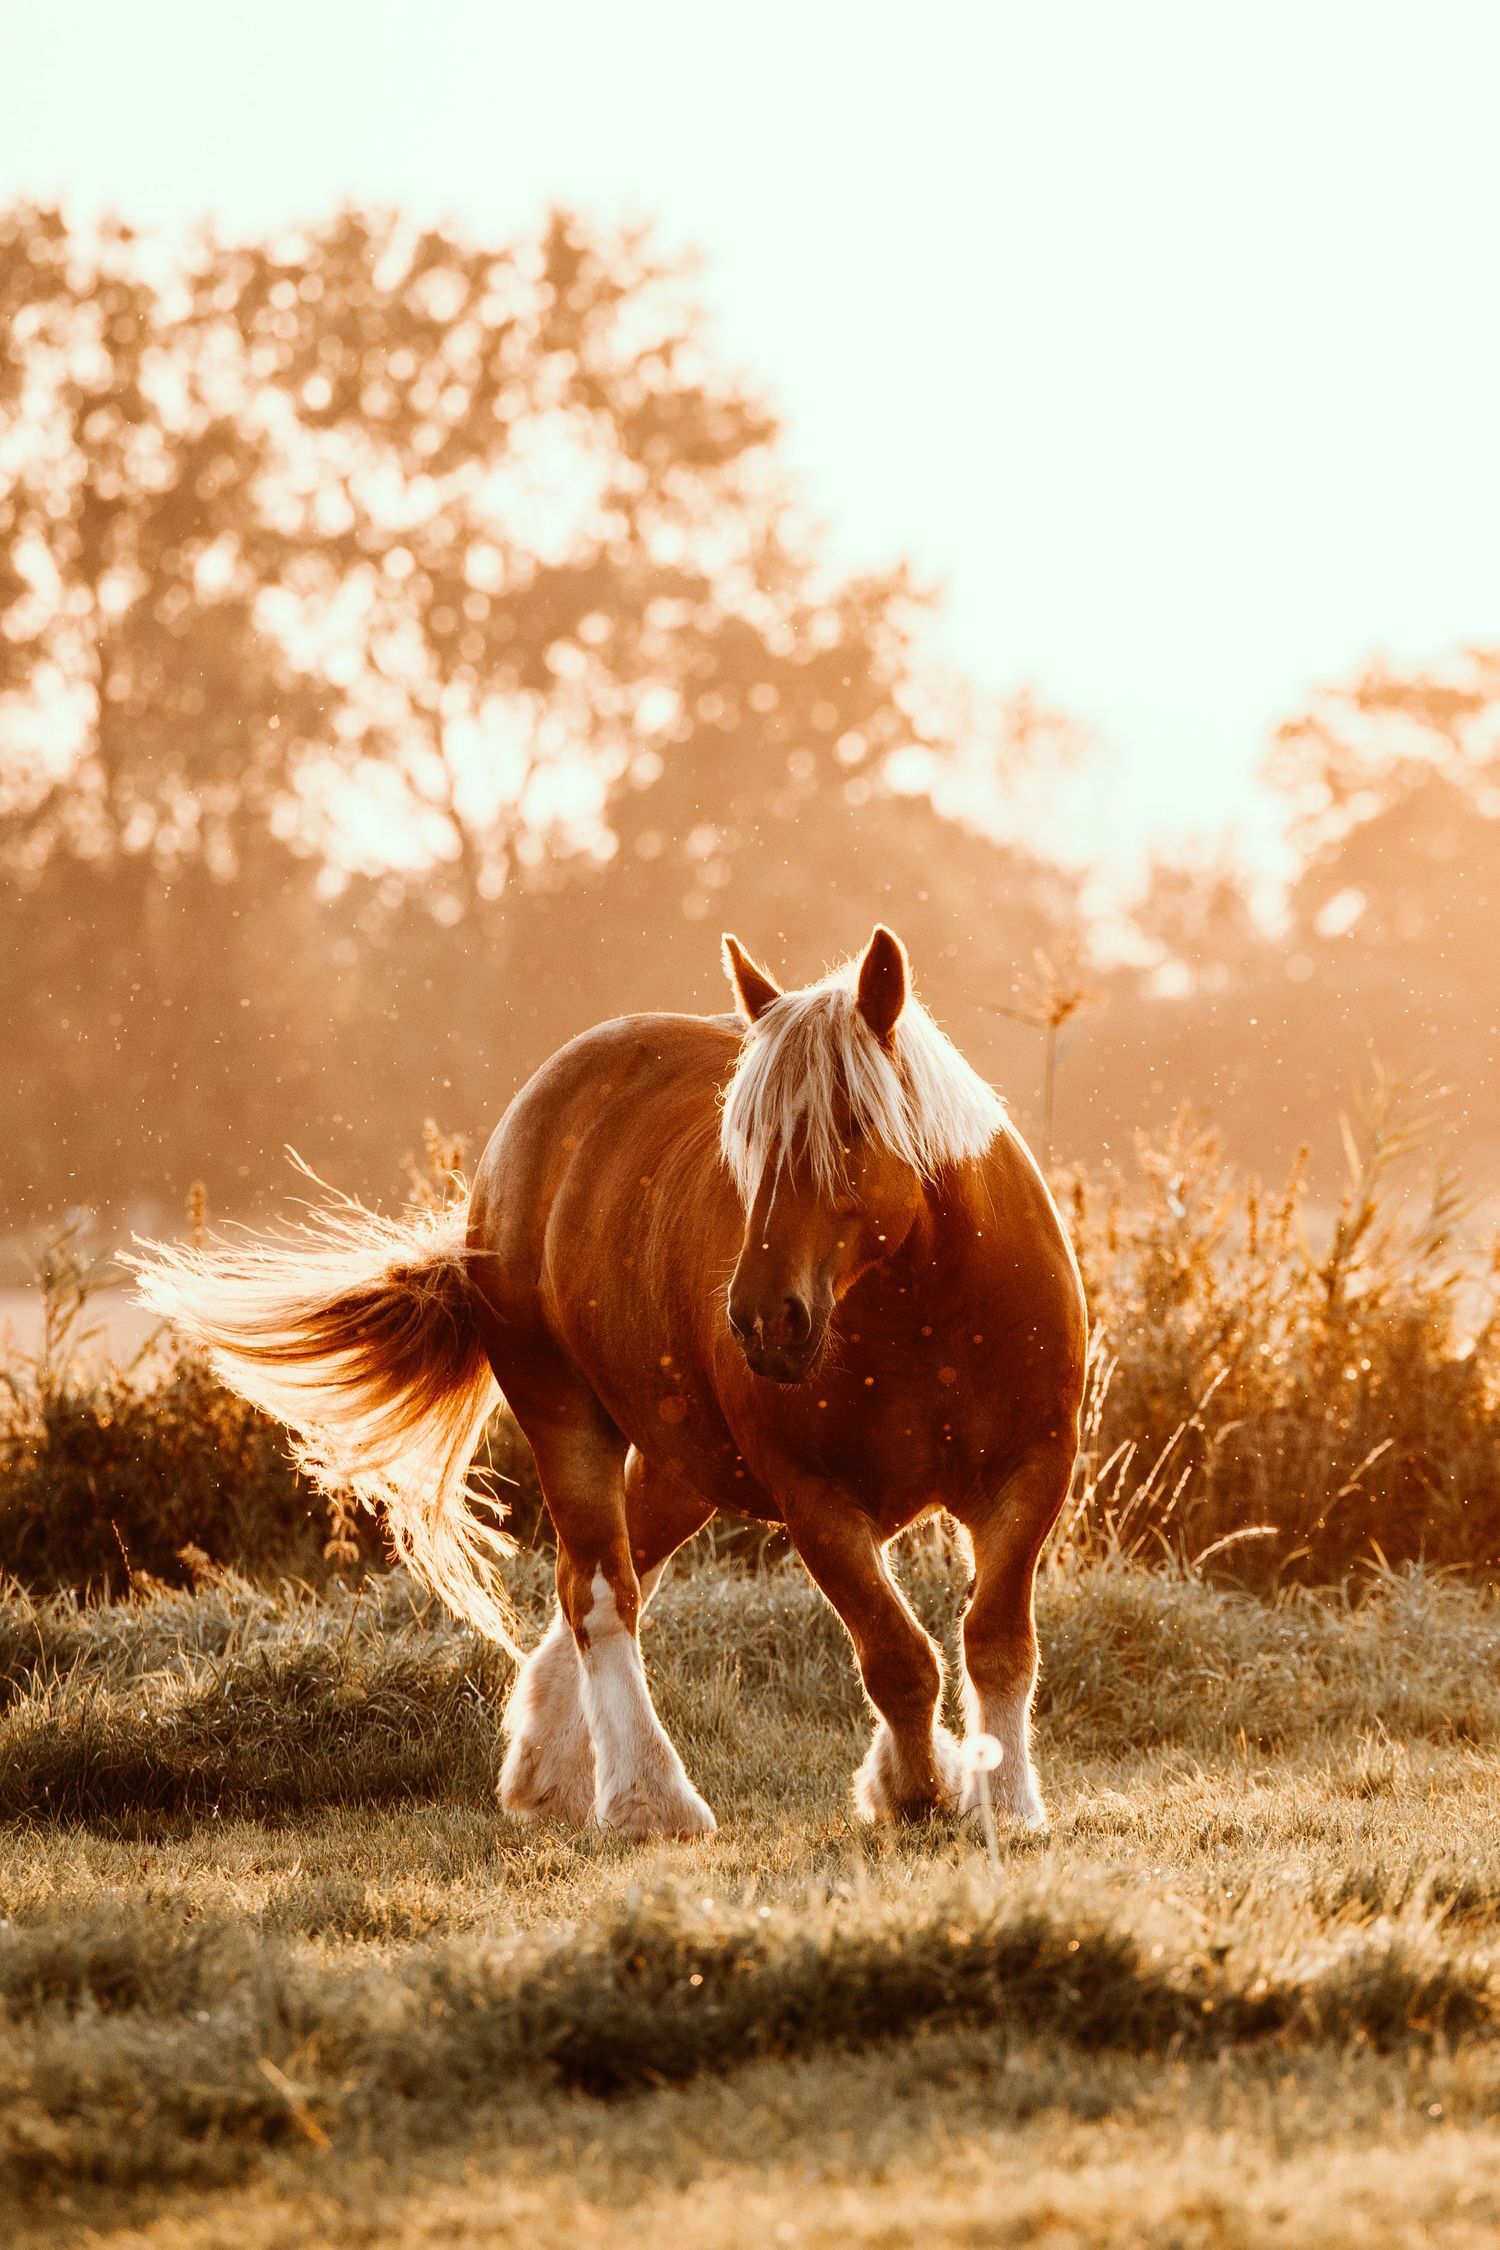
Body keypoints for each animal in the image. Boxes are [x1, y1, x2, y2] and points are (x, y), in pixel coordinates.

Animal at [132, 925, 1088, 1838]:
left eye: (853, 1125)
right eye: (743, 1140)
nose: (762, 1320)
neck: (926, 1312)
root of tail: (530, 1116)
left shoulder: (1031, 1474)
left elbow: (997, 1641)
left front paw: (1002, 1801)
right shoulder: (816, 1501)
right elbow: (898, 1658)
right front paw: (921, 1789)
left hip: (681, 1465)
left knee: (611, 1577)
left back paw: (547, 1774)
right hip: (566, 1420)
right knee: (601, 1592)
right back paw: (646, 1798)